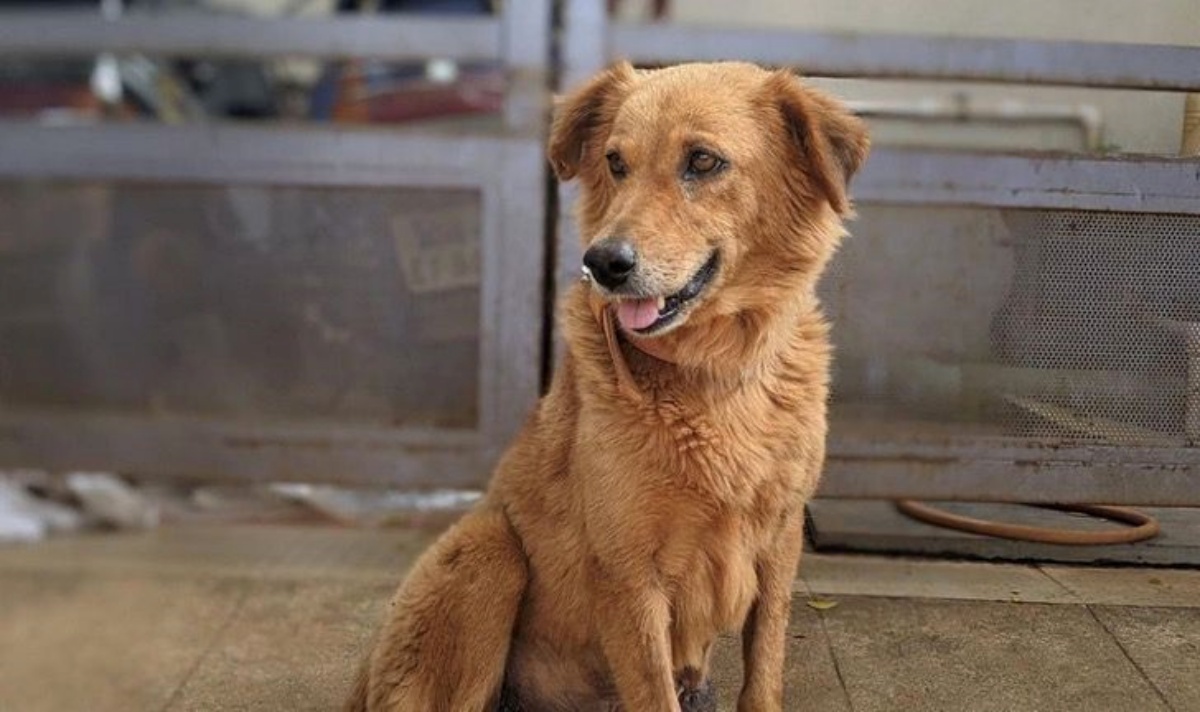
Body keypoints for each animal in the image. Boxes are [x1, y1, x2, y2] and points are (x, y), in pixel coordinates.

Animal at [348, 62, 873, 710]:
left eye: (703, 161)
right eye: (616, 162)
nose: (602, 263)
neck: (715, 376)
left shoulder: (780, 544)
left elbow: (765, 668)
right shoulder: (628, 572)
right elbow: (652, 691)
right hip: (489, 549)